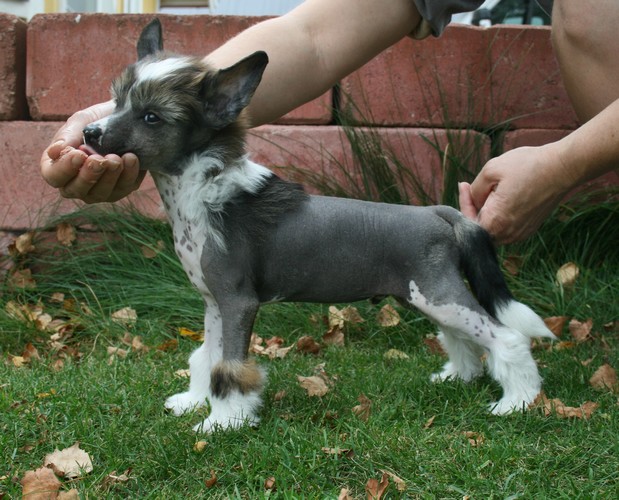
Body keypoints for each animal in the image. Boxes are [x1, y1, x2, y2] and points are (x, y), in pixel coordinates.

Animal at [82, 19, 555, 432]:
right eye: (118, 101)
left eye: (151, 117)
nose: (89, 132)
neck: (204, 194)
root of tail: (439, 212)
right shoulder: (215, 303)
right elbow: (208, 358)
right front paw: (196, 401)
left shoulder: (238, 302)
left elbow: (230, 367)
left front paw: (223, 422)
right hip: (424, 296)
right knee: (462, 337)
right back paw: (460, 376)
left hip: (439, 294)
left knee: (506, 337)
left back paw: (518, 401)